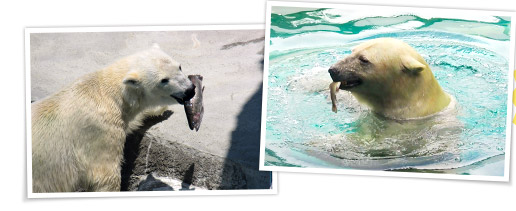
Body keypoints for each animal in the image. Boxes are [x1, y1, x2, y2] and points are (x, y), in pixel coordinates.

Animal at [30, 43, 196, 192]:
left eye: (179, 66)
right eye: (164, 80)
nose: (190, 90)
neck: (105, 92)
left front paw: (160, 110)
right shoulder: (99, 131)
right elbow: (105, 177)